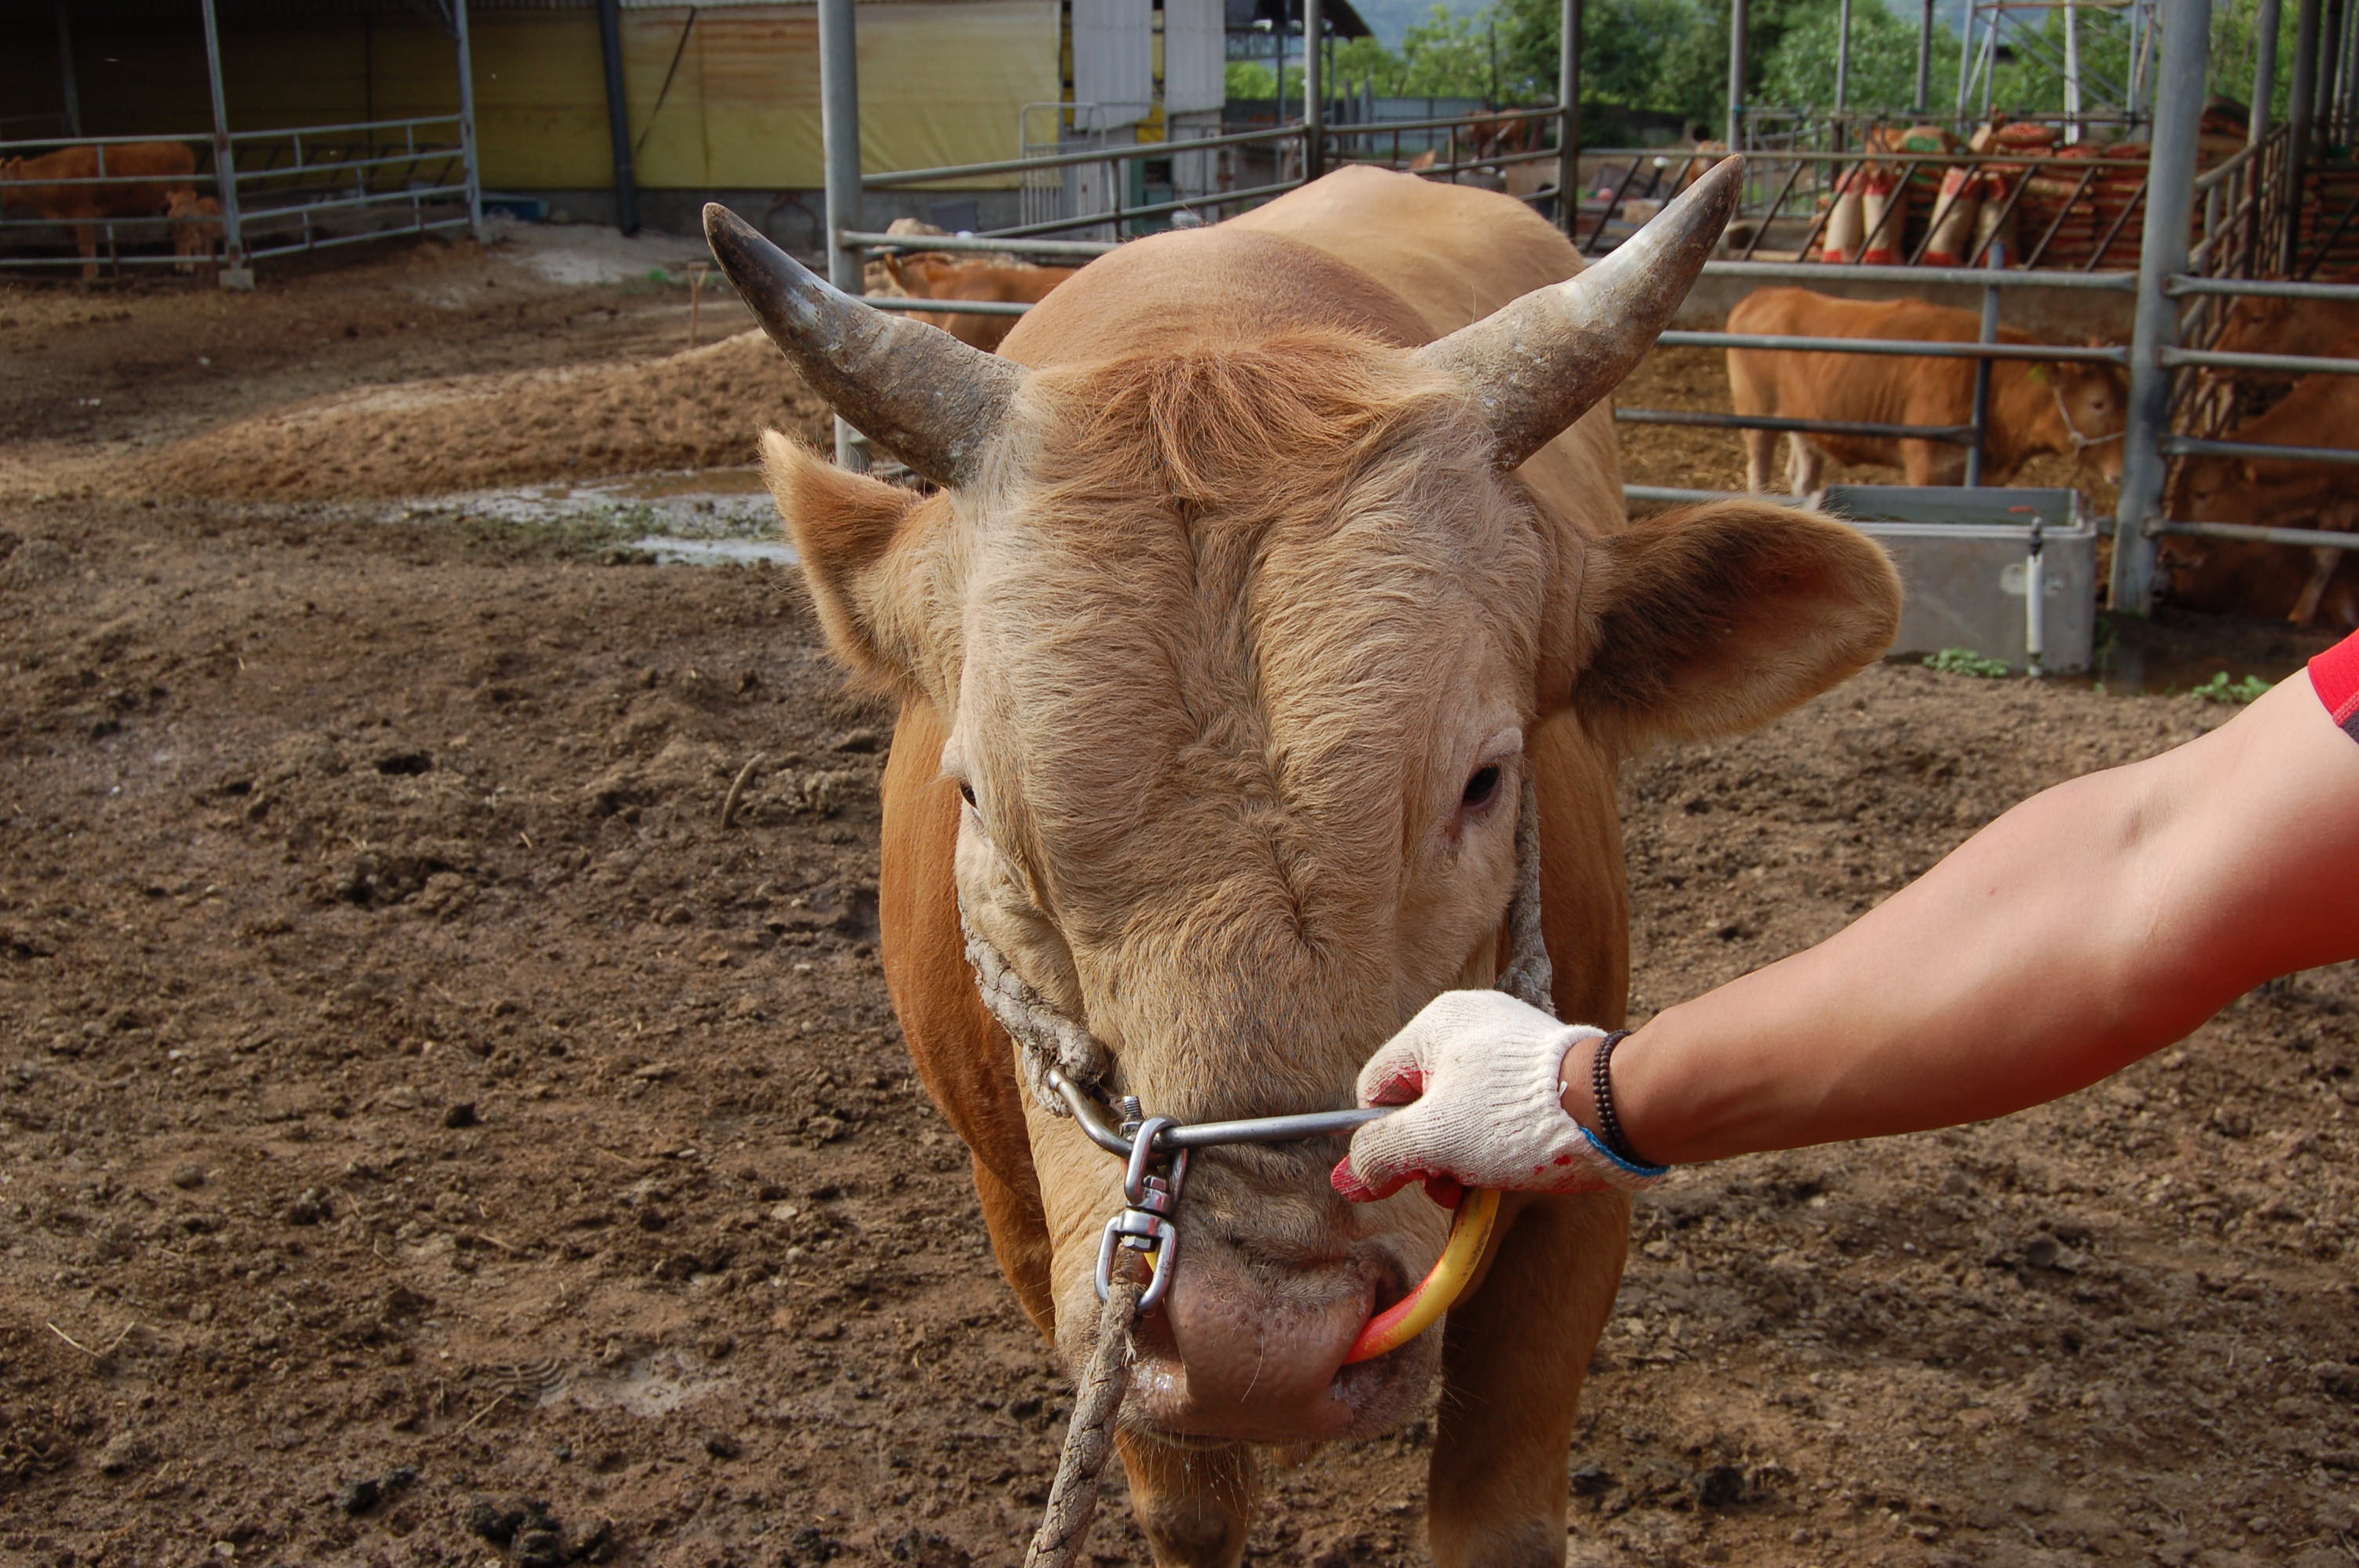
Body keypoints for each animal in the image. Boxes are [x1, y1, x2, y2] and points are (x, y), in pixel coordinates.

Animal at [0, 141, 198, 281]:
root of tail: (181, 146)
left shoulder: (83, 213)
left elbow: (85, 246)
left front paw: (88, 276)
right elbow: (90, 247)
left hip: (183, 200)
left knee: (186, 231)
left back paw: (187, 267)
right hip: (169, 206)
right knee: (177, 232)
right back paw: (179, 264)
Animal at [698, 165, 1896, 1555]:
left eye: (1485, 780)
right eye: (979, 797)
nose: (1257, 1341)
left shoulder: (1579, 1176)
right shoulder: (1045, 1232)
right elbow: (1186, 1501)